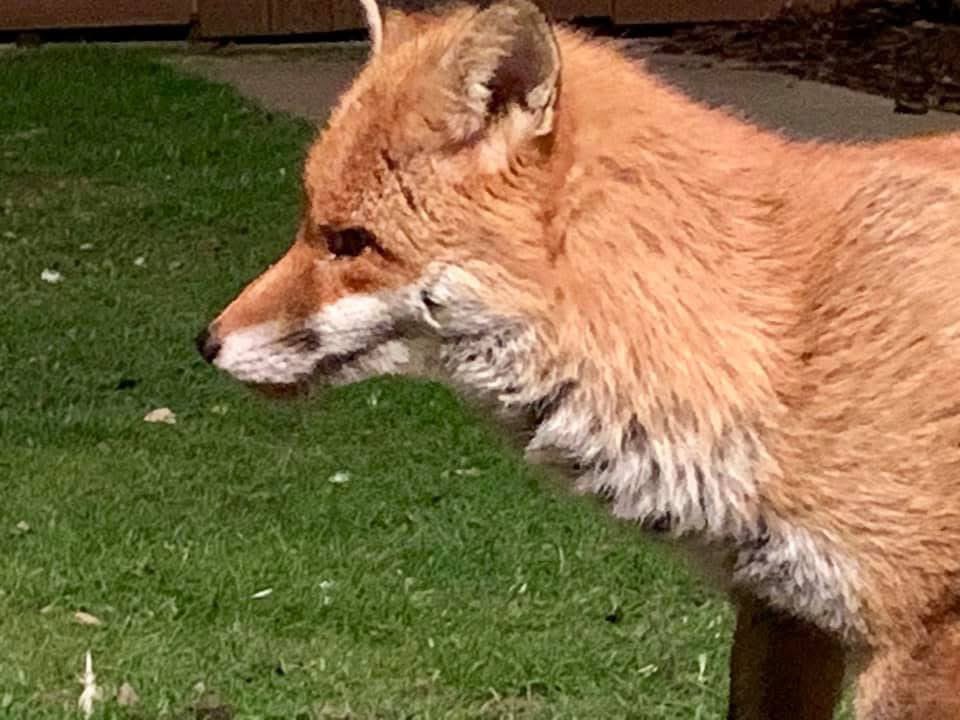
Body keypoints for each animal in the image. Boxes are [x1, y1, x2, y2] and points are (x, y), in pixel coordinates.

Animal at [195, 0, 960, 717]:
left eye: (350, 241)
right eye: (309, 222)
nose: (207, 341)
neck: (785, 336)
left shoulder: (921, 636)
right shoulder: (784, 611)